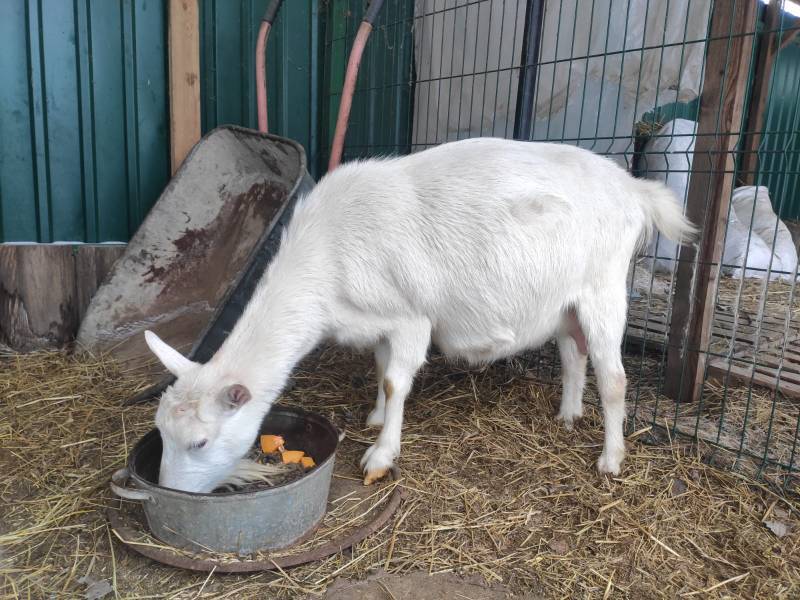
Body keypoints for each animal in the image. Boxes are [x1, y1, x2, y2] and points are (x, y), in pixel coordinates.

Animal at [144, 137, 695, 493]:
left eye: (198, 442)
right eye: (163, 434)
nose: (172, 490)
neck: (324, 257)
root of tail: (634, 190)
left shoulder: (411, 317)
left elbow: (395, 381)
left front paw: (380, 455)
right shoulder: (379, 321)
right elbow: (381, 371)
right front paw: (374, 417)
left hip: (604, 288)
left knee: (614, 377)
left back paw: (611, 458)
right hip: (565, 301)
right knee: (573, 355)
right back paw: (568, 415)